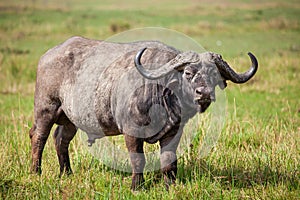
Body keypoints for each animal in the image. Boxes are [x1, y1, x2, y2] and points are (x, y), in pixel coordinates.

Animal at [28, 36, 258, 191]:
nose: (204, 93)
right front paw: (136, 187)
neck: (160, 92)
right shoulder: (132, 132)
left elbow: (169, 160)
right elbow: (138, 160)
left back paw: (66, 172)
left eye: (213, 74)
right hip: (45, 109)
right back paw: (35, 171)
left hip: (70, 120)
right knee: (39, 136)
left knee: (60, 139)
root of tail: (48, 55)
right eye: (188, 73)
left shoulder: (173, 132)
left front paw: (169, 186)